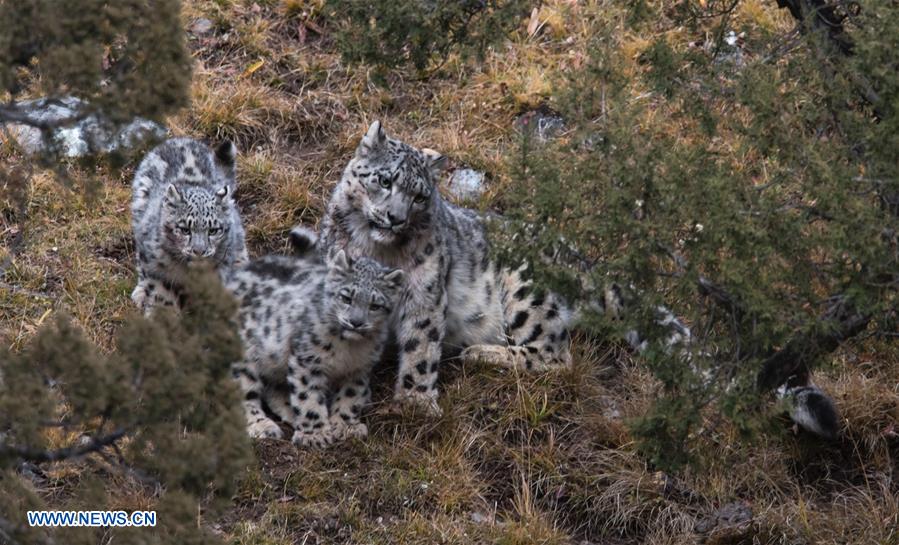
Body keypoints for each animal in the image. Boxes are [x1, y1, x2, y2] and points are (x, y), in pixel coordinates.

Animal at [128, 138, 248, 312]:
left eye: (213, 230)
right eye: (185, 230)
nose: (199, 251)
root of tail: (180, 139)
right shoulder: (158, 269)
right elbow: (162, 295)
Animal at [227, 249, 406, 444]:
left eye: (375, 305)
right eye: (346, 298)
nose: (356, 322)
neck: (348, 348)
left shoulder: (359, 368)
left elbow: (351, 395)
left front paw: (346, 427)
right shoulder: (308, 360)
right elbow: (308, 395)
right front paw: (315, 435)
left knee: (274, 390)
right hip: (245, 359)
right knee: (243, 394)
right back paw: (264, 426)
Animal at [320, 122, 572, 412]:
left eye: (419, 197)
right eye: (385, 181)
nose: (396, 218)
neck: (379, 251)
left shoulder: (424, 290)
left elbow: (420, 345)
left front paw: (416, 402)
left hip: (525, 290)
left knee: (556, 355)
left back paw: (480, 353)